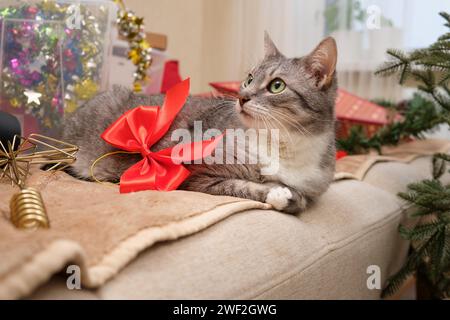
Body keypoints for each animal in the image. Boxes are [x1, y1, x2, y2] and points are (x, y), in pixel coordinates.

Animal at [64, 33, 338, 215]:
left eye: (277, 85)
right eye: (249, 79)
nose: (241, 96)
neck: (282, 143)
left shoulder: (314, 186)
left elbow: (301, 198)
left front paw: (290, 196)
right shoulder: (196, 177)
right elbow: (242, 186)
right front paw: (277, 192)